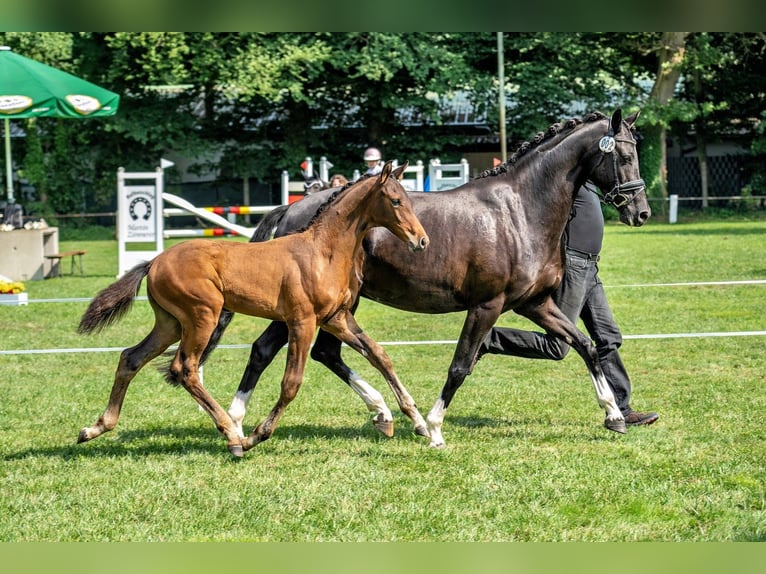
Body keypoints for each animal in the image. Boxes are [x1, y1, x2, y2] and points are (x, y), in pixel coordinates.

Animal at [78, 162, 432, 460]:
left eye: (408, 200)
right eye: (395, 201)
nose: (422, 240)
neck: (322, 252)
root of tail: (154, 261)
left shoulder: (337, 319)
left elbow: (379, 355)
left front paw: (420, 424)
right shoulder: (301, 322)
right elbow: (291, 383)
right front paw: (258, 435)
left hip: (171, 323)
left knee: (131, 357)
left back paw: (95, 427)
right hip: (201, 317)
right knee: (185, 368)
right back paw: (233, 436)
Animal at [207, 109, 652, 450]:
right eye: (623, 154)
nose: (641, 212)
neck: (520, 211)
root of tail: (291, 210)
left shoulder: (535, 304)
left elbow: (585, 346)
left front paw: (614, 415)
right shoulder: (487, 305)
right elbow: (460, 365)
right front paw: (435, 427)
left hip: (334, 306)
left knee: (313, 353)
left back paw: (376, 414)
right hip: (315, 307)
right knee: (273, 350)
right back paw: (239, 423)